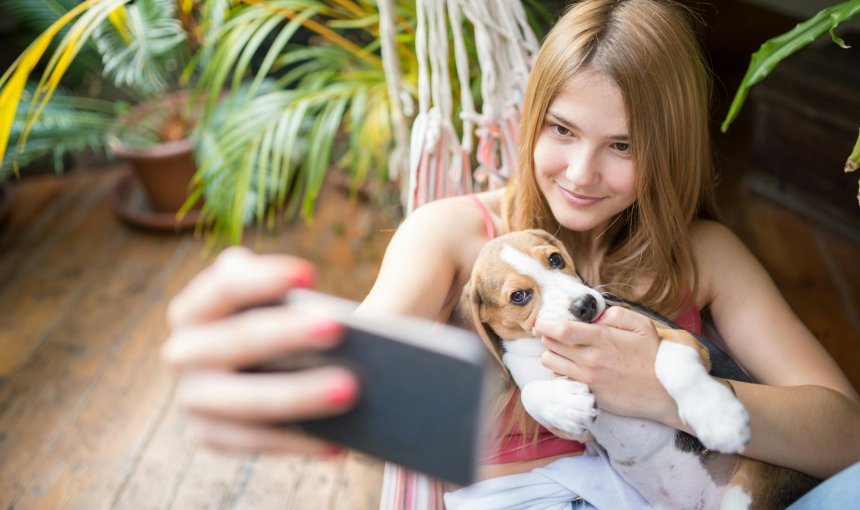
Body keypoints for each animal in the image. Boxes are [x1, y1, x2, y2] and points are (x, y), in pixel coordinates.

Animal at [466, 230, 816, 510]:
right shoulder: (574, 431)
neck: (543, 346)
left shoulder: (680, 338)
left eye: (555, 259)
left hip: (751, 485)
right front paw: (564, 403)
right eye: (519, 296)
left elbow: (671, 361)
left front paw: (717, 417)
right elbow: (532, 393)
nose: (586, 305)